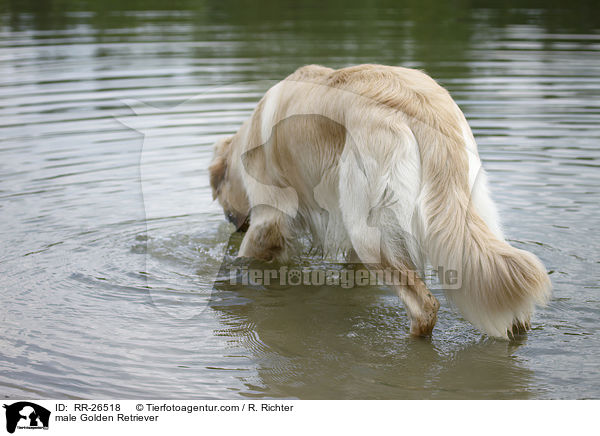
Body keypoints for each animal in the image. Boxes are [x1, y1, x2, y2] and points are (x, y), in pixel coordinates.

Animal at [209, 63, 552, 338]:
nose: (232, 223)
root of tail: (425, 109)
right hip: (471, 214)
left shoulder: (270, 216)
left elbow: (245, 254)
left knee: (425, 306)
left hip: (370, 231)